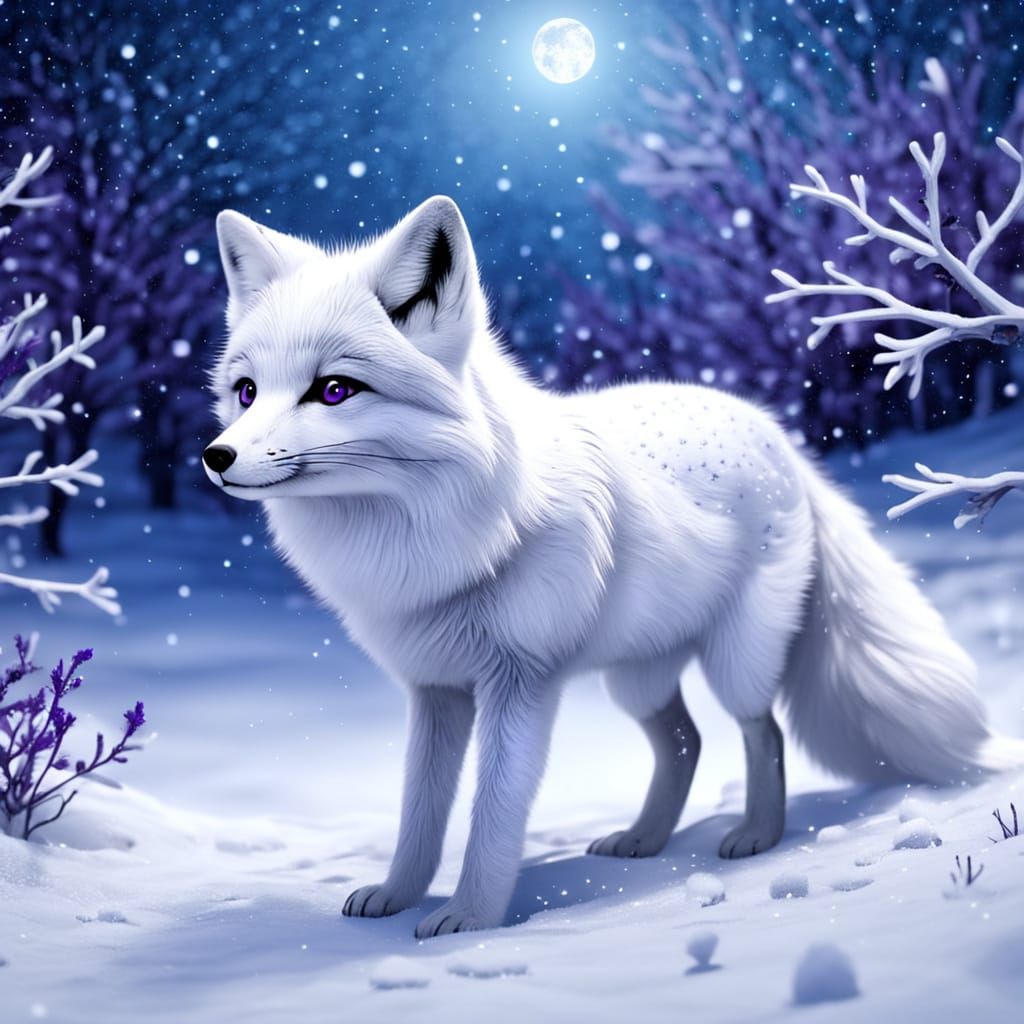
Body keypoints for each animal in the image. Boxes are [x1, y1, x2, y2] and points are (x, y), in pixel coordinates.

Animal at [204, 195, 1023, 938]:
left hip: (733, 662)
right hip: (636, 676)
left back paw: (757, 837)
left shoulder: (520, 684)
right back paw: (645, 840)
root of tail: (778, 437)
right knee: (686, 743)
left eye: (333, 389)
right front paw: (398, 894)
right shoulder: (436, 690)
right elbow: (419, 808)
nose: (217, 456)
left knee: (762, 732)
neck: (437, 538)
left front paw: (470, 918)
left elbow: (495, 811)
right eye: (246, 392)